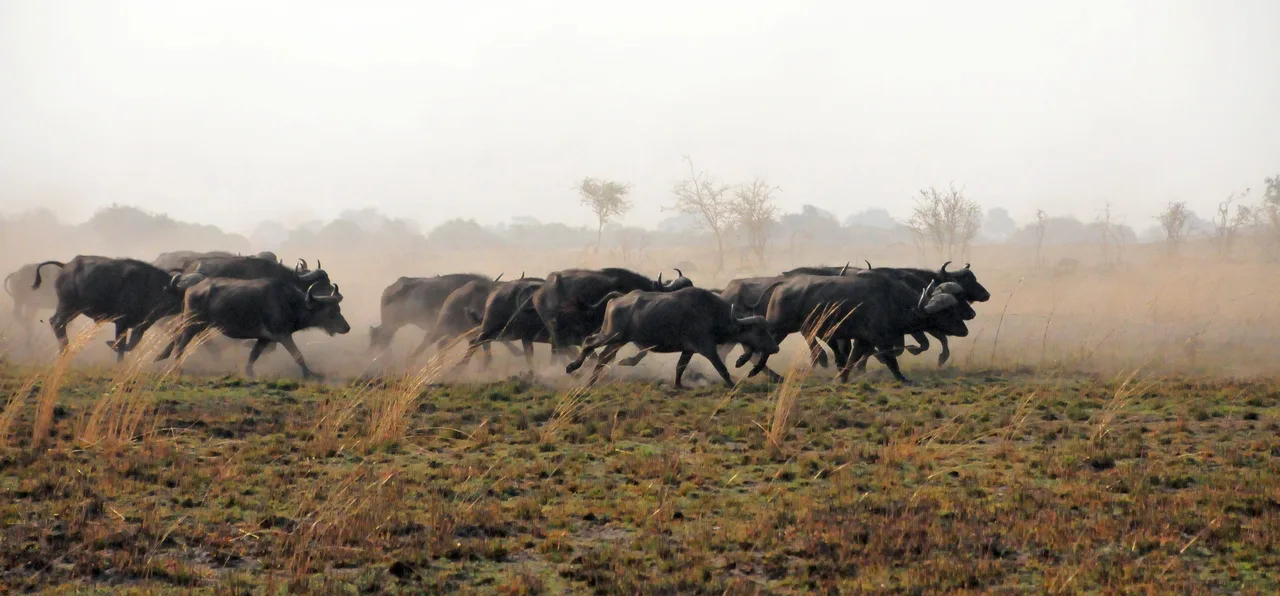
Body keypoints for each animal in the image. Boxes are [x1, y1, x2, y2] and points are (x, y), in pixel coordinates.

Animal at [155, 277, 350, 378]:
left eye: (339, 309)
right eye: (331, 311)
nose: (346, 328)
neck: (290, 303)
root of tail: (191, 288)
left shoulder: (264, 338)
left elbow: (254, 355)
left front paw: (249, 372)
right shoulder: (282, 335)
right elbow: (298, 355)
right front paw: (310, 374)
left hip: (196, 324)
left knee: (176, 334)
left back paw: (162, 356)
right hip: (193, 325)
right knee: (181, 343)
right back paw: (177, 368)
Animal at [564, 287, 778, 388]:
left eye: (766, 328)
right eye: (760, 331)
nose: (775, 348)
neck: (712, 313)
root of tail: (618, 299)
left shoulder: (688, 350)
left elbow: (680, 367)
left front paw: (678, 384)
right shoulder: (707, 348)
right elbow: (722, 369)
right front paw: (733, 384)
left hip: (618, 341)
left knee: (602, 357)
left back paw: (591, 381)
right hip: (610, 335)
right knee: (589, 342)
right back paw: (572, 367)